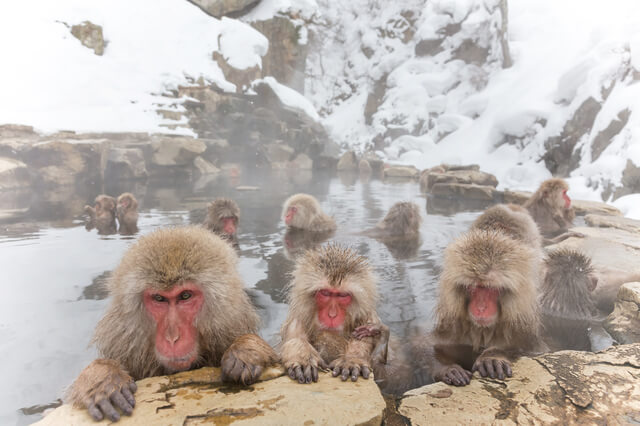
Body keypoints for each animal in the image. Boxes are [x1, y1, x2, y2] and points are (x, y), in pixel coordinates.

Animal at [280, 244, 391, 386]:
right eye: (325, 293)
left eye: (342, 295)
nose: (332, 315)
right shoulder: (298, 316)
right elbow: (294, 338)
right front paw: (303, 357)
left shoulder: (367, 318)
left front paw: (352, 359)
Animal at [411, 229, 545, 387]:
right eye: (473, 287)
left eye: (490, 288)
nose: (481, 308)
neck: (482, 330)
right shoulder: (453, 326)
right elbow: (424, 343)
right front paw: (447, 368)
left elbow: (526, 349)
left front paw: (493, 357)